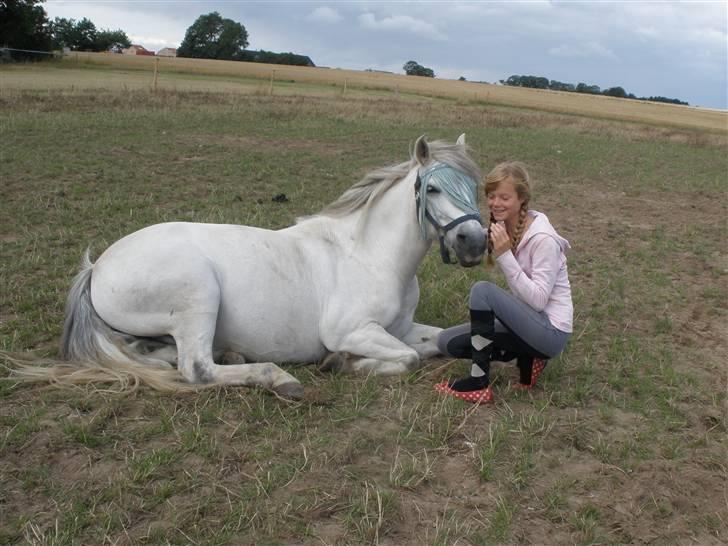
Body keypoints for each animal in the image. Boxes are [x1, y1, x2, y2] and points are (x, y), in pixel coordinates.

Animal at [11, 133, 486, 396]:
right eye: (434, 189)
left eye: (476, 187)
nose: (475, 242)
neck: (369, 255)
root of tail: (98, 267)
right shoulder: (352, 330)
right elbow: (409, 359)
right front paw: (343, 363)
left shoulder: (400, 328)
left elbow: (440, 341)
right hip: (198, 295)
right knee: (195, 369)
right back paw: (278, 379)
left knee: (155, 355)